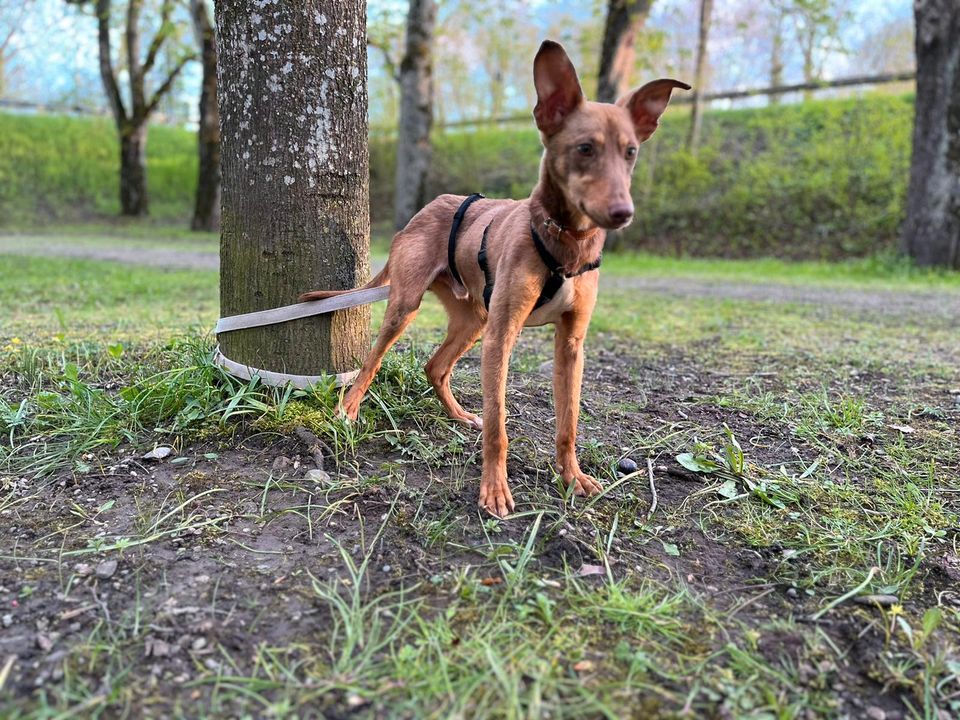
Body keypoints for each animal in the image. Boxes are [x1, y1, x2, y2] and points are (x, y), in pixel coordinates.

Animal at [304, 40, 688, 516]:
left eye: (631, 151)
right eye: (584, 148)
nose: (623, 213)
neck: (564, 242)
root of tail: (422, 212)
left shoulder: (571, 344)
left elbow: (568, 423)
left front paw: (572, 476)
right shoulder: (501, 336)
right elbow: (498, 425)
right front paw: (494, 490)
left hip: (474, 318)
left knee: (435, 367)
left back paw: (458, 415)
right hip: (409, 308)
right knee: (372, 361)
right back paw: (349, 410)